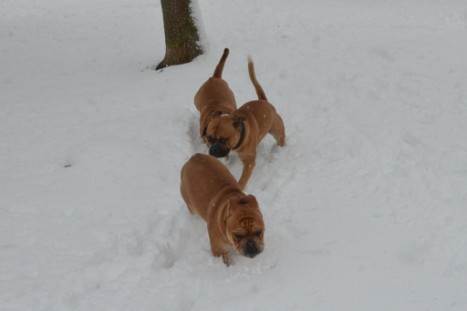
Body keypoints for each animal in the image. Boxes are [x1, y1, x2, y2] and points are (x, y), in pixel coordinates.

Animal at [207, 56, 288, 190]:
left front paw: (239, 187)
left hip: (277, 131)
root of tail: (264, 101)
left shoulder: (249, 163)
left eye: (223, 139)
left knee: (280, 139)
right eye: (208, 138)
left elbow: (242, 181)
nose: (212, 150)